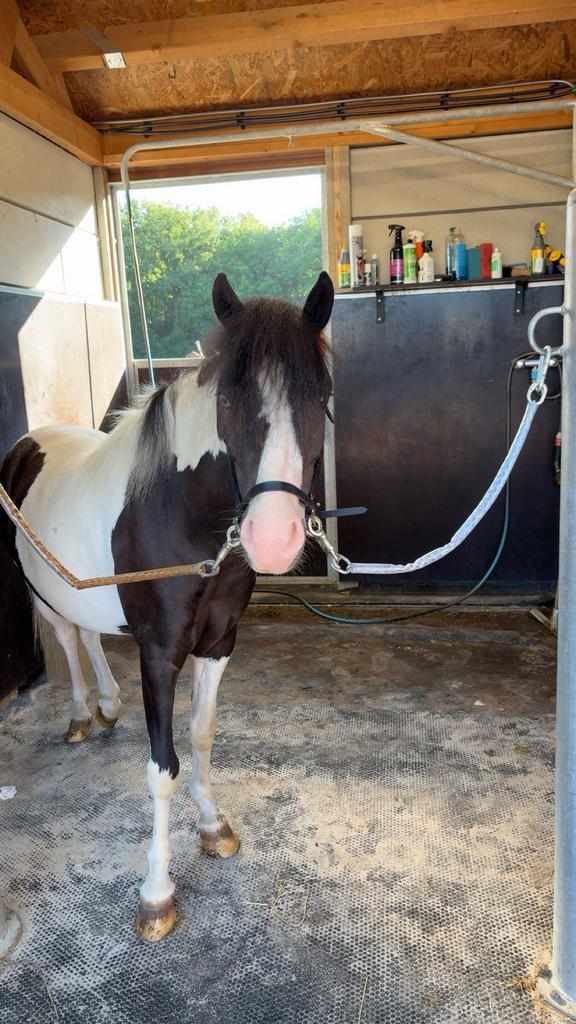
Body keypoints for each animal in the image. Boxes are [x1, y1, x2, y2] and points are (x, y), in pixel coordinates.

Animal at [0, 271, 334, 941]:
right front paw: (156, 894)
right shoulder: (159, 654)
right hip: (43, 593)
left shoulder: (219, 643)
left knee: (91, 636)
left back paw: (106, 706)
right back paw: (82, 714)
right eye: (227, 400)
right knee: (69, 640)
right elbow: (162, 768)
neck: (182, 516)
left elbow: (201, 736)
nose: (273, 537)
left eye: (323, 396)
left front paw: (213, 827)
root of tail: (31, 441)